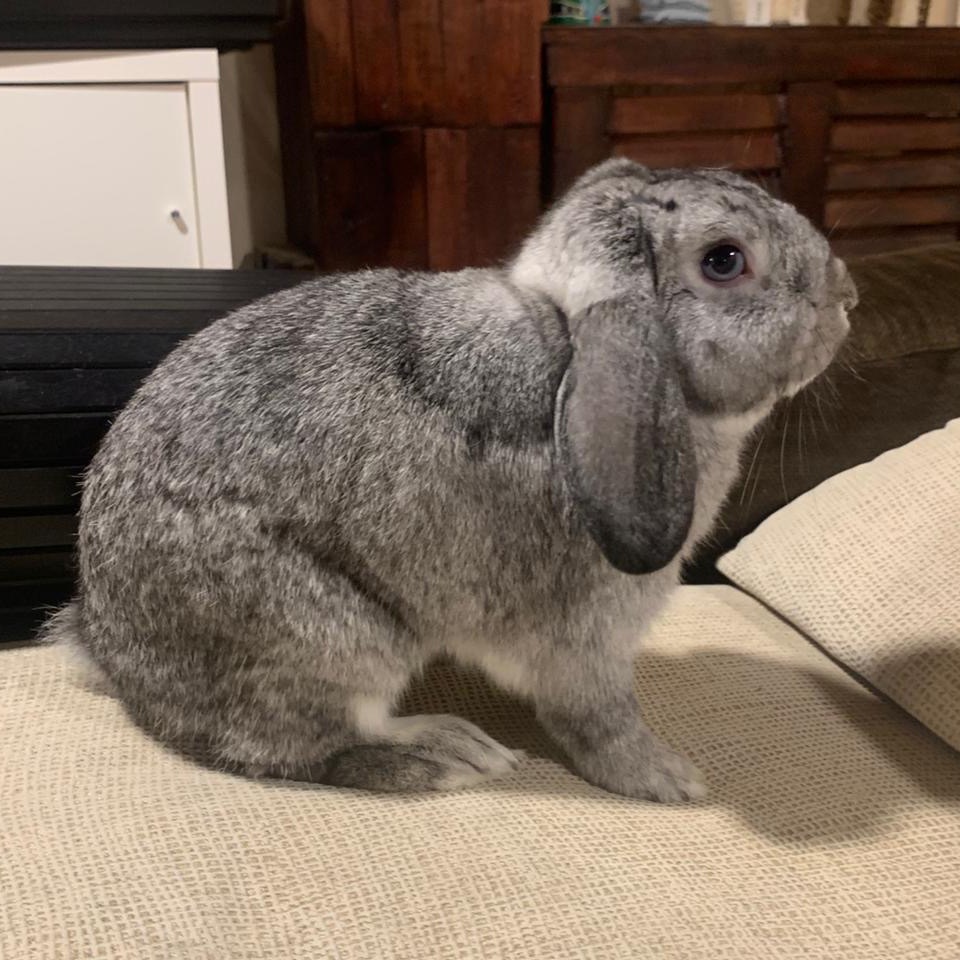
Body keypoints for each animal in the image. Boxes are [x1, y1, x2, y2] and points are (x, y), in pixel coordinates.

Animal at [45, 159, 857, 802]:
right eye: (725, 261)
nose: (847, 295)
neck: (567, 344)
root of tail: (111, 654)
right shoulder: (587, 639)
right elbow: (597, 720)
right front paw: (667, 779)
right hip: (336, 639)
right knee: (307, 750)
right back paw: (441, 755)